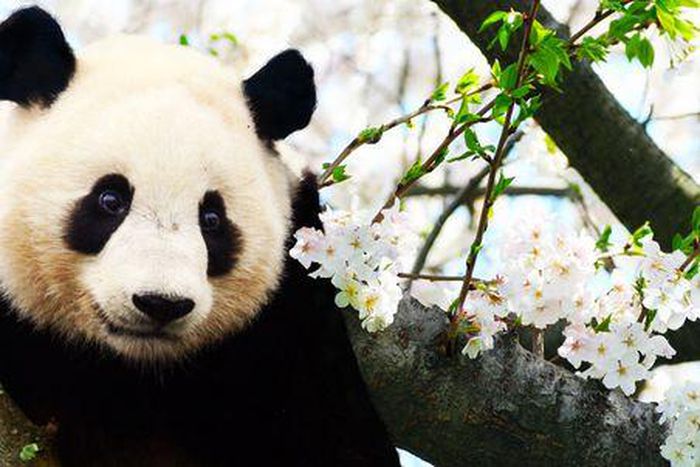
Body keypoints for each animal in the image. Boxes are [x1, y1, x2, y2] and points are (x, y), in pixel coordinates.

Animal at [0, 7, 400, 467]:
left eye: (211, 218)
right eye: (110, 199)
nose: (161, 303)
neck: (135, 370)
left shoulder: (294, 316)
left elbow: (339, 432)